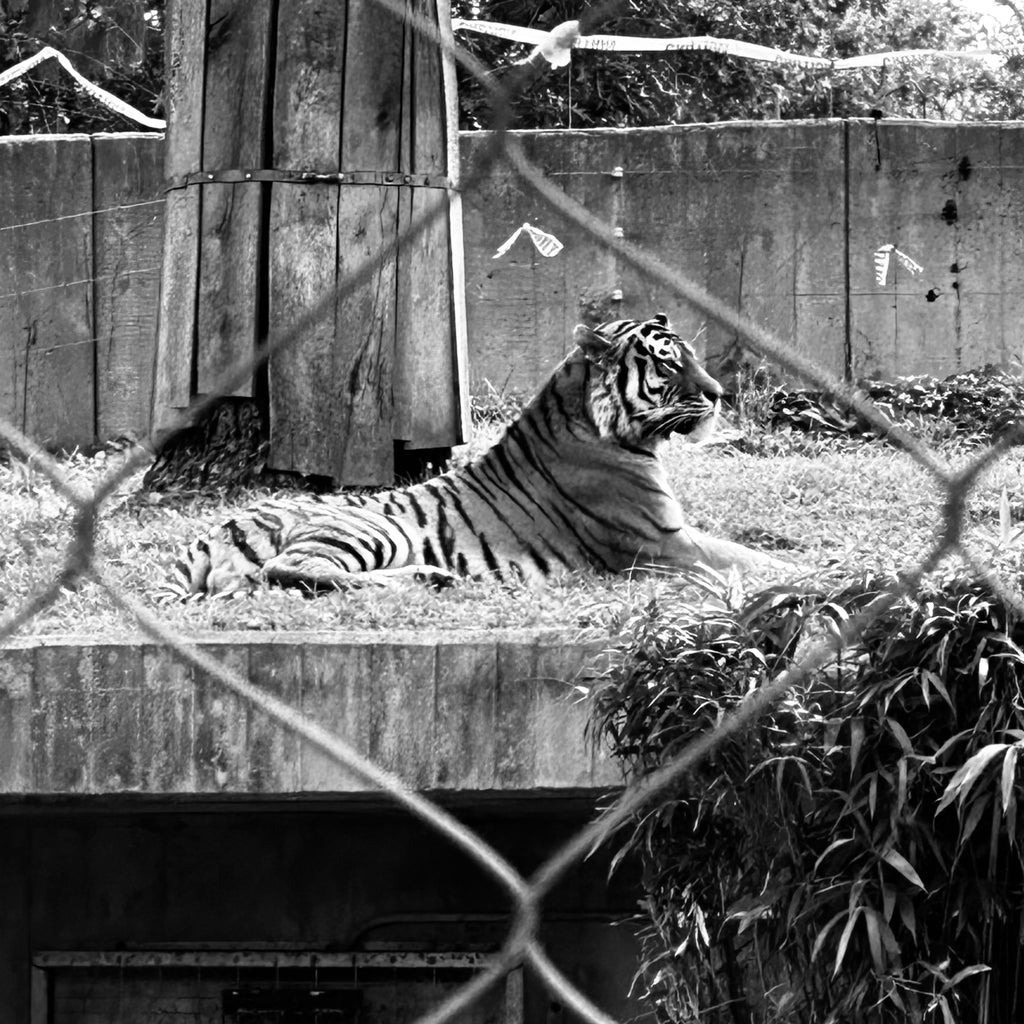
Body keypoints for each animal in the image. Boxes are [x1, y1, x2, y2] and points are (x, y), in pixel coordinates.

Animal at [175, 312, 784, 597]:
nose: (720, 394)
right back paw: (430, 578)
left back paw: (430, 576)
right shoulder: (661, 542)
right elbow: (753, 560)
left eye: (692, 356)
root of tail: (213, 530)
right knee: (288, 569)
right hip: (366, 527)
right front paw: (805, 574)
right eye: (667, 363)